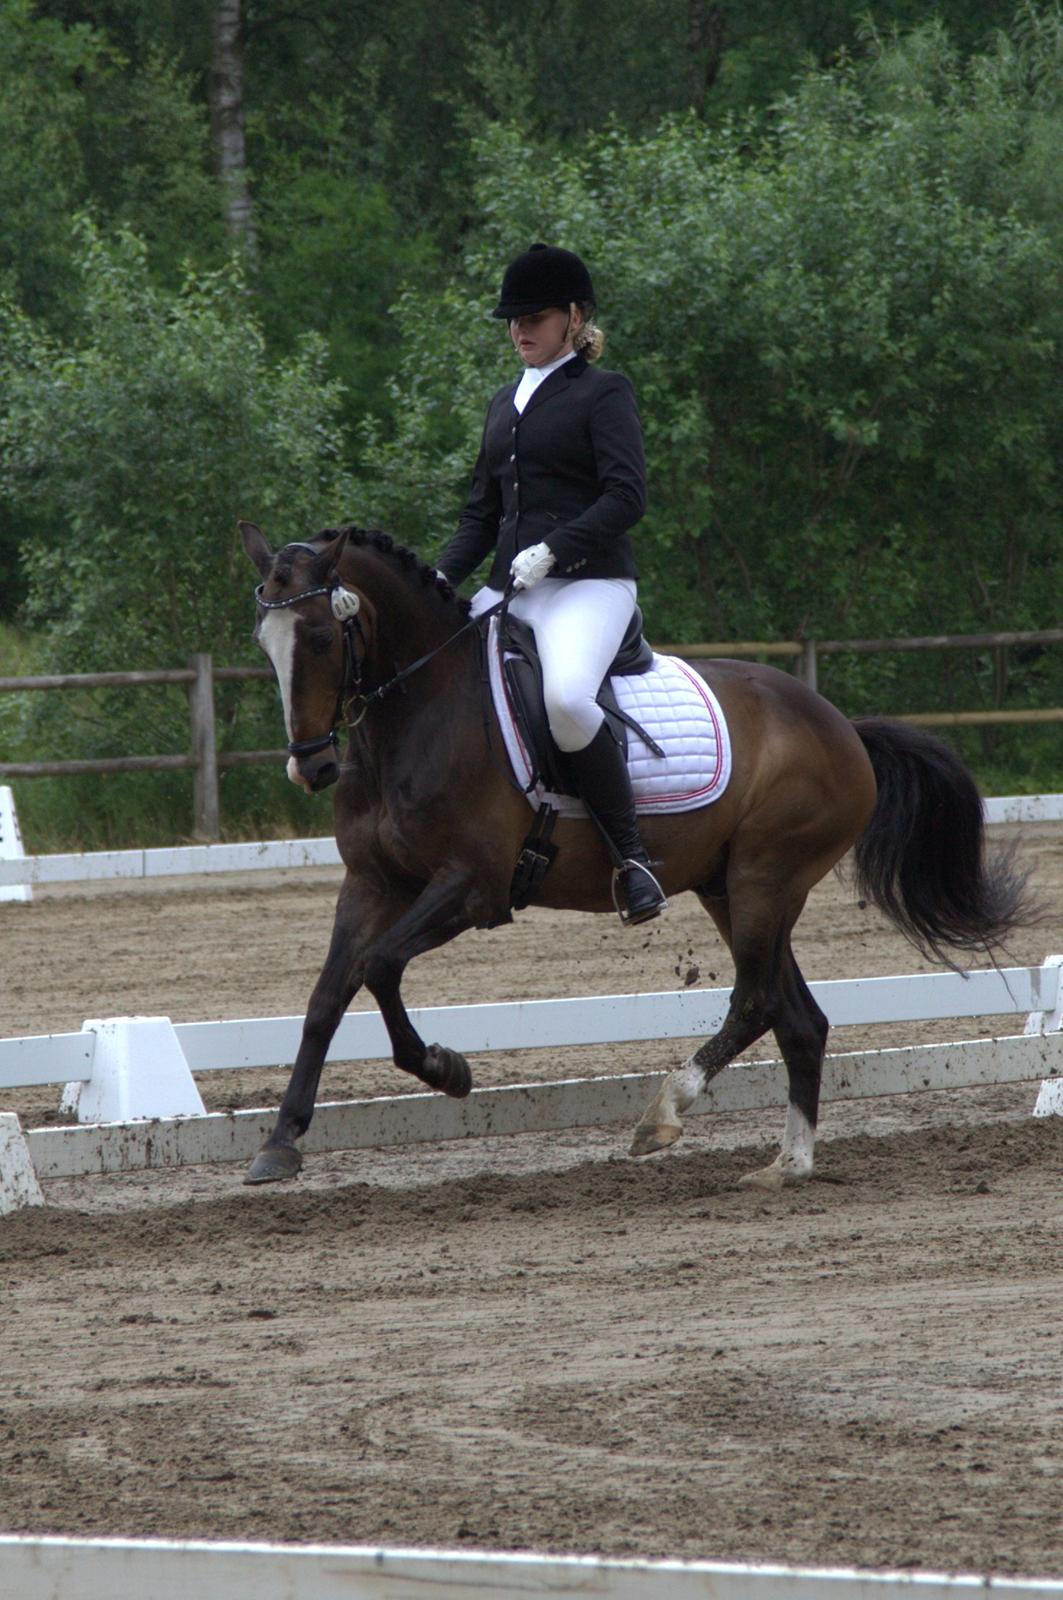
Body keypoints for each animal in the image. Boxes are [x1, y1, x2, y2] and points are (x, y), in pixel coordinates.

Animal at [239, 519, 1029, 1189]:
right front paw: (280, 1143)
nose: (311, 767)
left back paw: (666, 1112)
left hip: (766, 878)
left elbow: (378, 966)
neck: (420, 709)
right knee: (798, 1019)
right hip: (728, 887)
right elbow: (328, 995)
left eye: (318, 637)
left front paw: (447, 1069)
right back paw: (788, 1164)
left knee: (755, 999)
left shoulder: (472, 886)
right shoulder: (372, 883)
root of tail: (841, 727)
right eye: (264, 643)